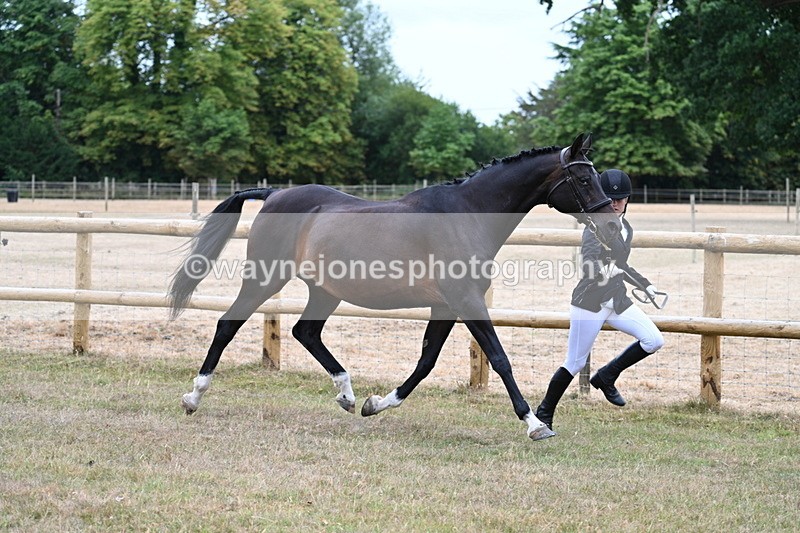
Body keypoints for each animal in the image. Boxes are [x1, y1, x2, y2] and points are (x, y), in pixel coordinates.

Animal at [169, 132, 621, 441]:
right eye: (583, 181)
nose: (613, 228)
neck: (467, 214)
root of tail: (276, 193)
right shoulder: (466, 301)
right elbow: (499, 358)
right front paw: (534, 424)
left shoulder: (447, 306)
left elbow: (426, 362)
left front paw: (376, 405)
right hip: (266, 276)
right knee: (229, 324)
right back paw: (193, 397)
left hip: (324, 290)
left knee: (305, 332)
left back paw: (347, 395)